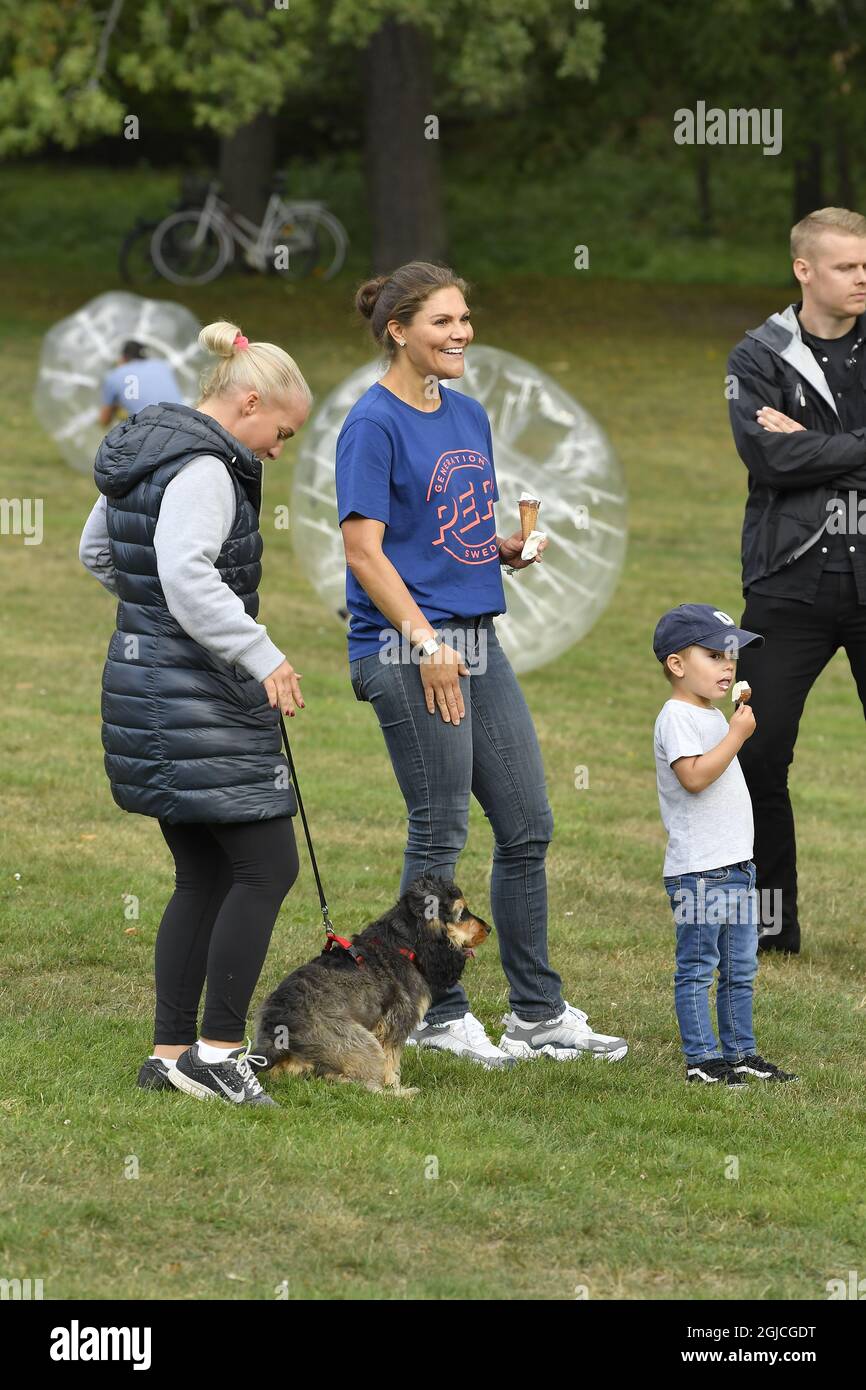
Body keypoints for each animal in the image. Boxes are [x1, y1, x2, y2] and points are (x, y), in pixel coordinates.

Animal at [254, 878, 492, 1095]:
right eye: (461, 913)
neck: (400, 944)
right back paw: (401, 1094)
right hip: (362, 1044)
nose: (489, 928)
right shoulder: (394, 1027)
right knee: (363, 1085)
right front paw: (395, 1086)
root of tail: (278, 1034)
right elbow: (391, 1063)